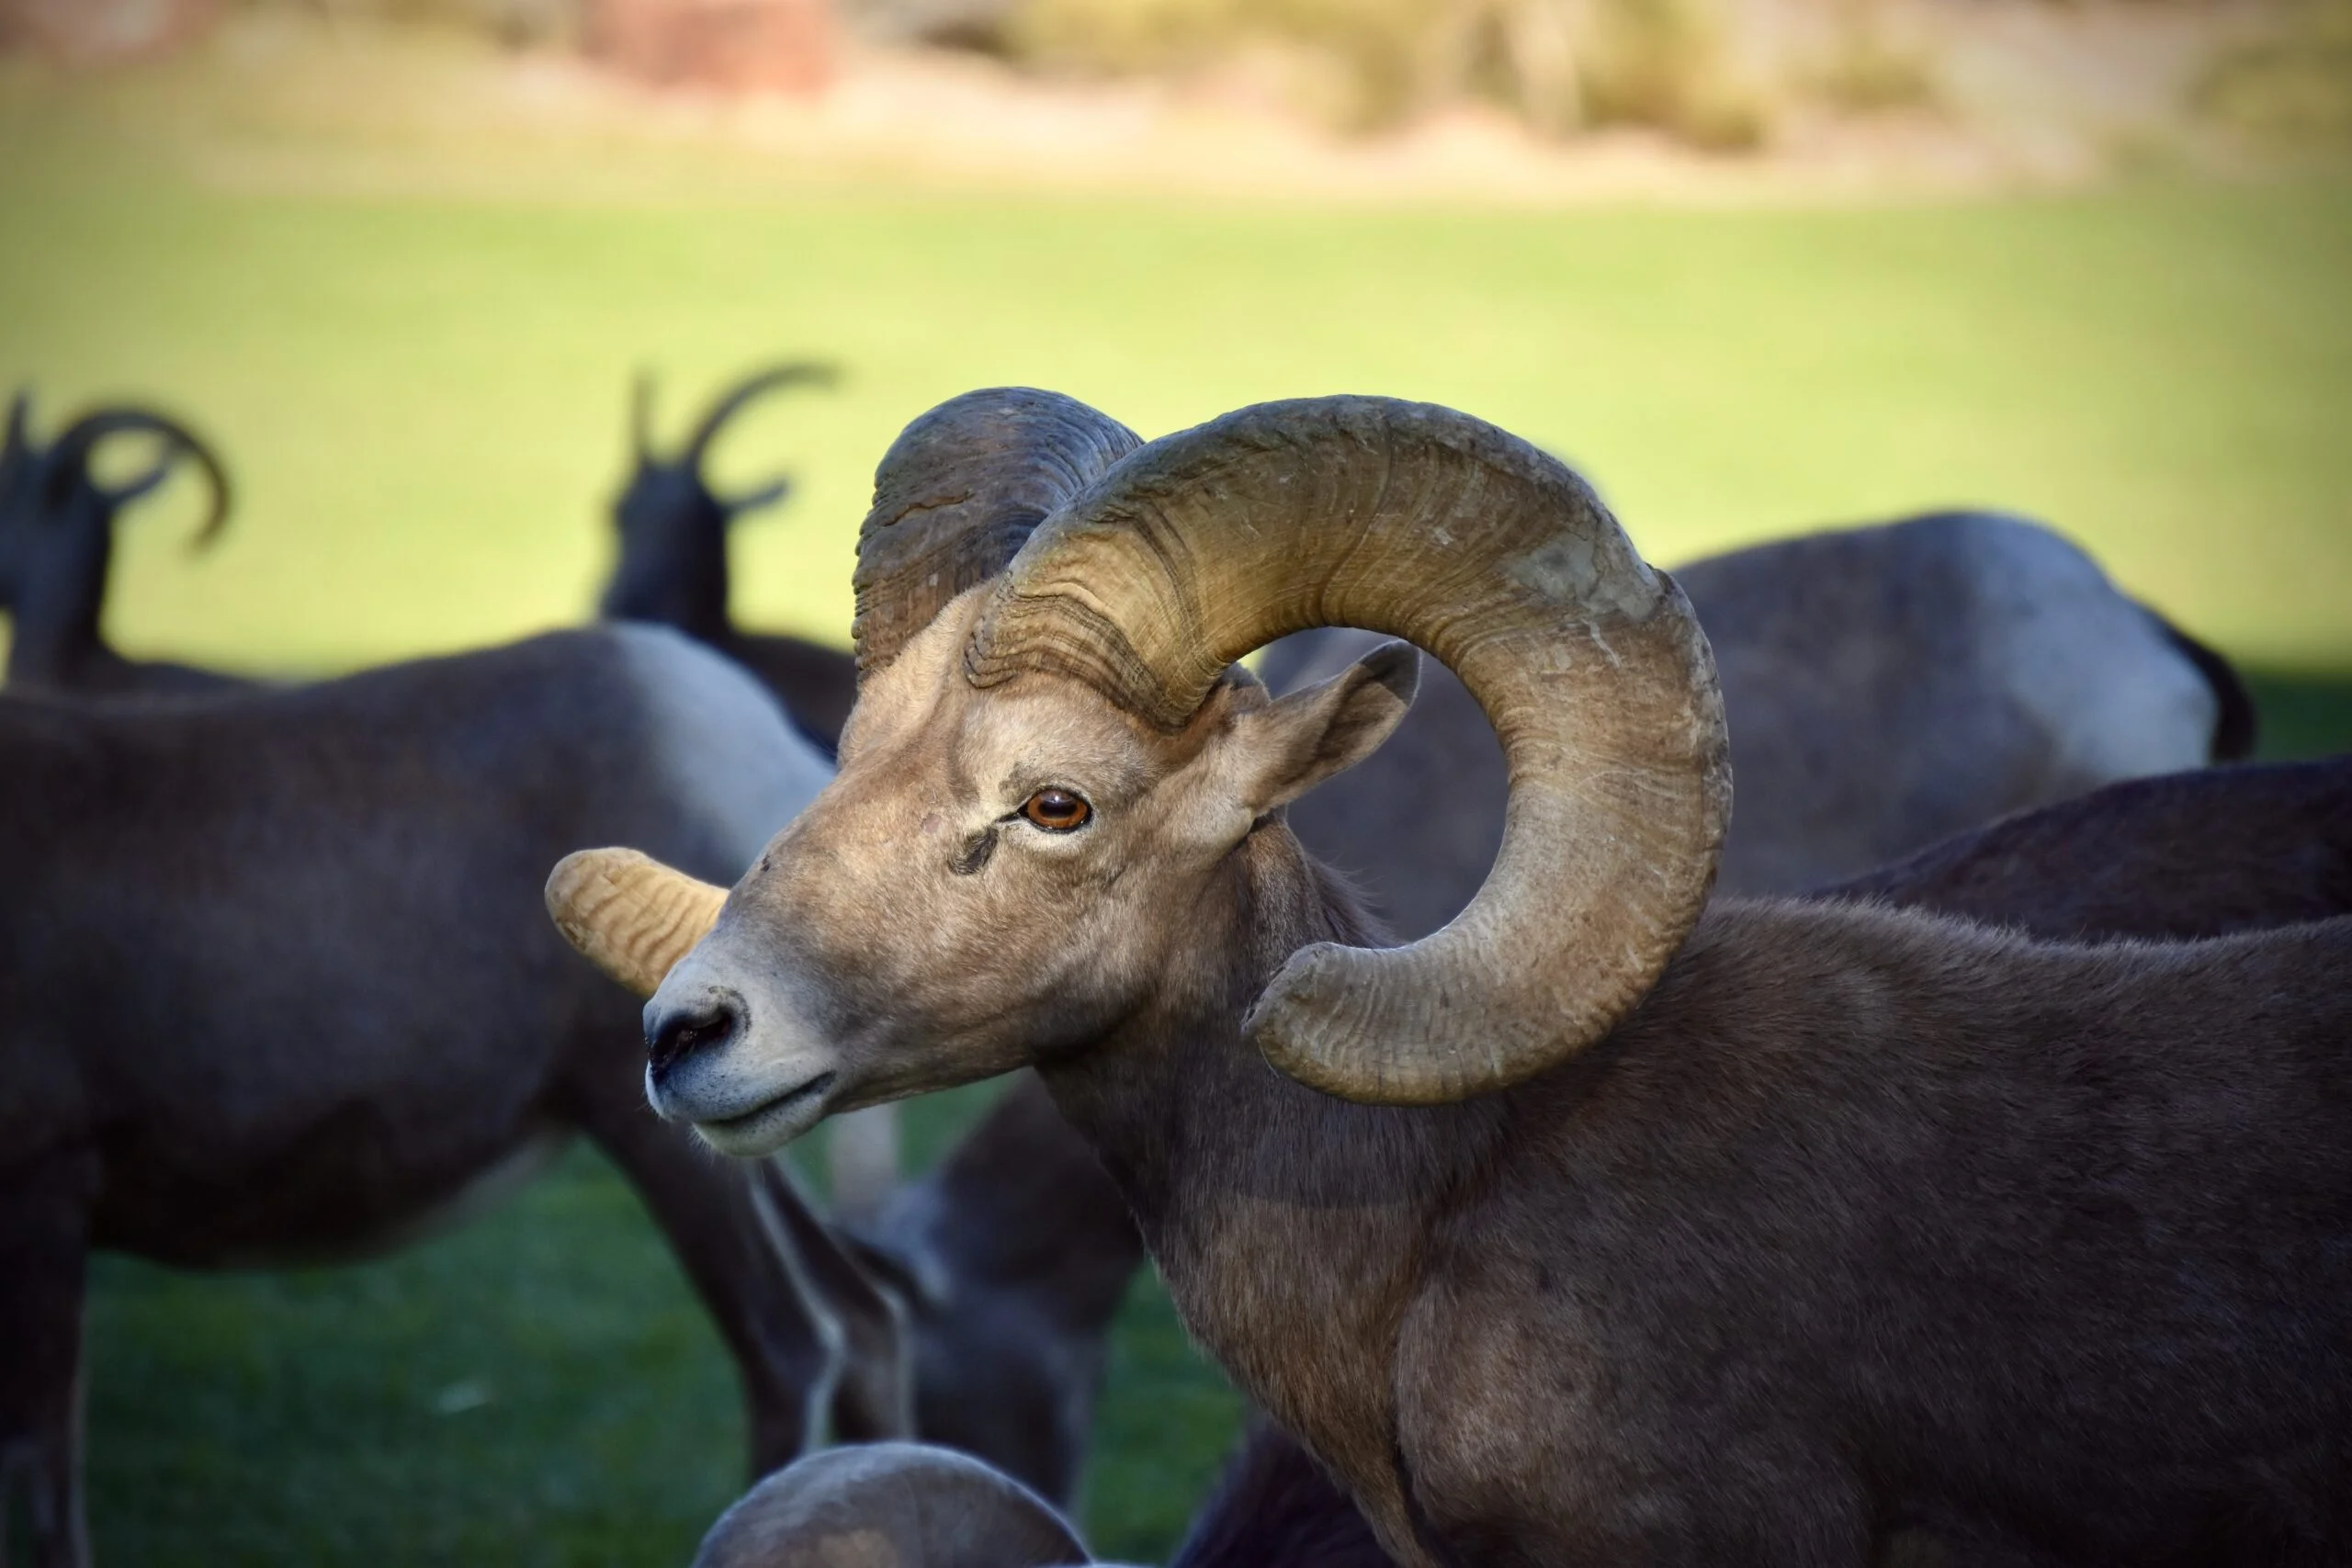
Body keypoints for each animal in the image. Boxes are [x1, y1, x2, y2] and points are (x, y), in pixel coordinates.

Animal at [0, 624, 911, 1568]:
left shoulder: (43, 1179)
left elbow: (41, 1458)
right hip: (740, 1123)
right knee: (863, 1316)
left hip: (662, 1139)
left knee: (790, 1344)